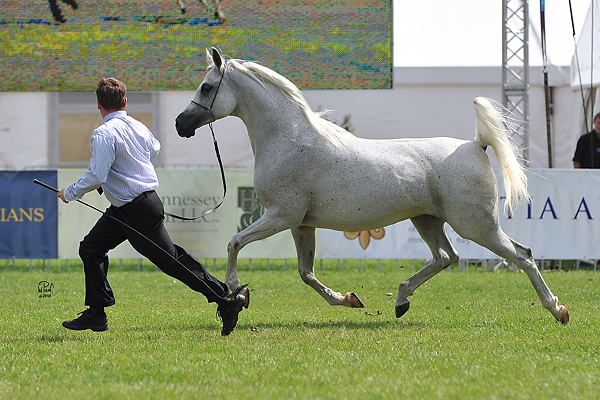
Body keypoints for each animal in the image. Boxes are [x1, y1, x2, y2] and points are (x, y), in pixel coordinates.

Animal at [176, 47, 568, 324]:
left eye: (206, 87)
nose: (181, 124)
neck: (288, 140)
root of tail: (476, 144)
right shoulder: (301, 223)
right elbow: (306, 273)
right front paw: (348, 299)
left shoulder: (281, 215)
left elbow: (234, 243)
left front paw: (234, 289)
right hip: (428, 220)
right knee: (447, 257)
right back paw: (401, 300)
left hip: (476, 225)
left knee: (522, 255)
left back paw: (558, 310)